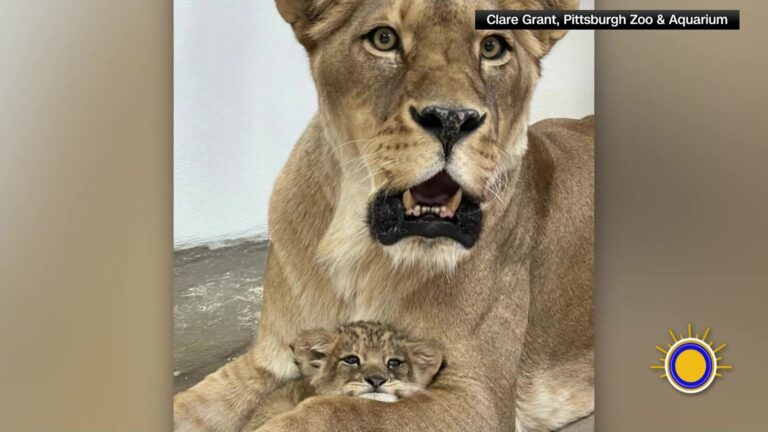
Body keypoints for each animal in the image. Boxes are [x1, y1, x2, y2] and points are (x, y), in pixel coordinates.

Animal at [173, 1, 594, 431]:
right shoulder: (266, 361)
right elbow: (194, 402)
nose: (451, 119)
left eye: (492, 47)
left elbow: (332, 411)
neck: (357, 249)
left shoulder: (477, 399)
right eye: (384, 39)